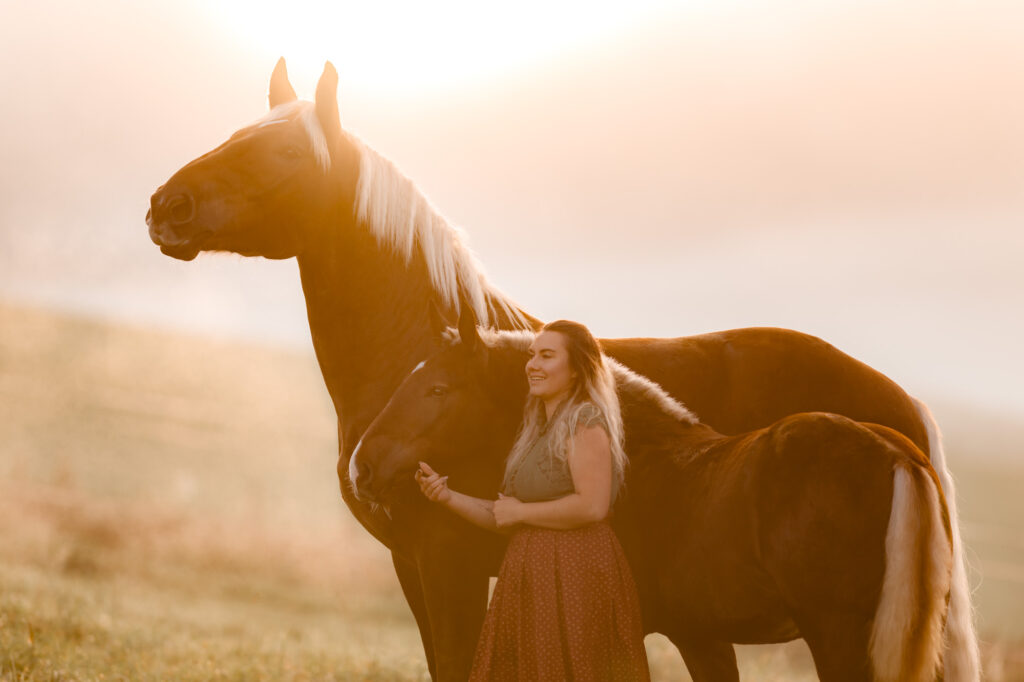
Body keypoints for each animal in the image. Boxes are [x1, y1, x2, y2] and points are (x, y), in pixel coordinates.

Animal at [352, 306, 954, 682]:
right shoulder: (701, 636)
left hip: (840, 640)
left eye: (437, 389)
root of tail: (897, 451)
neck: (643, 463)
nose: (362, 466)